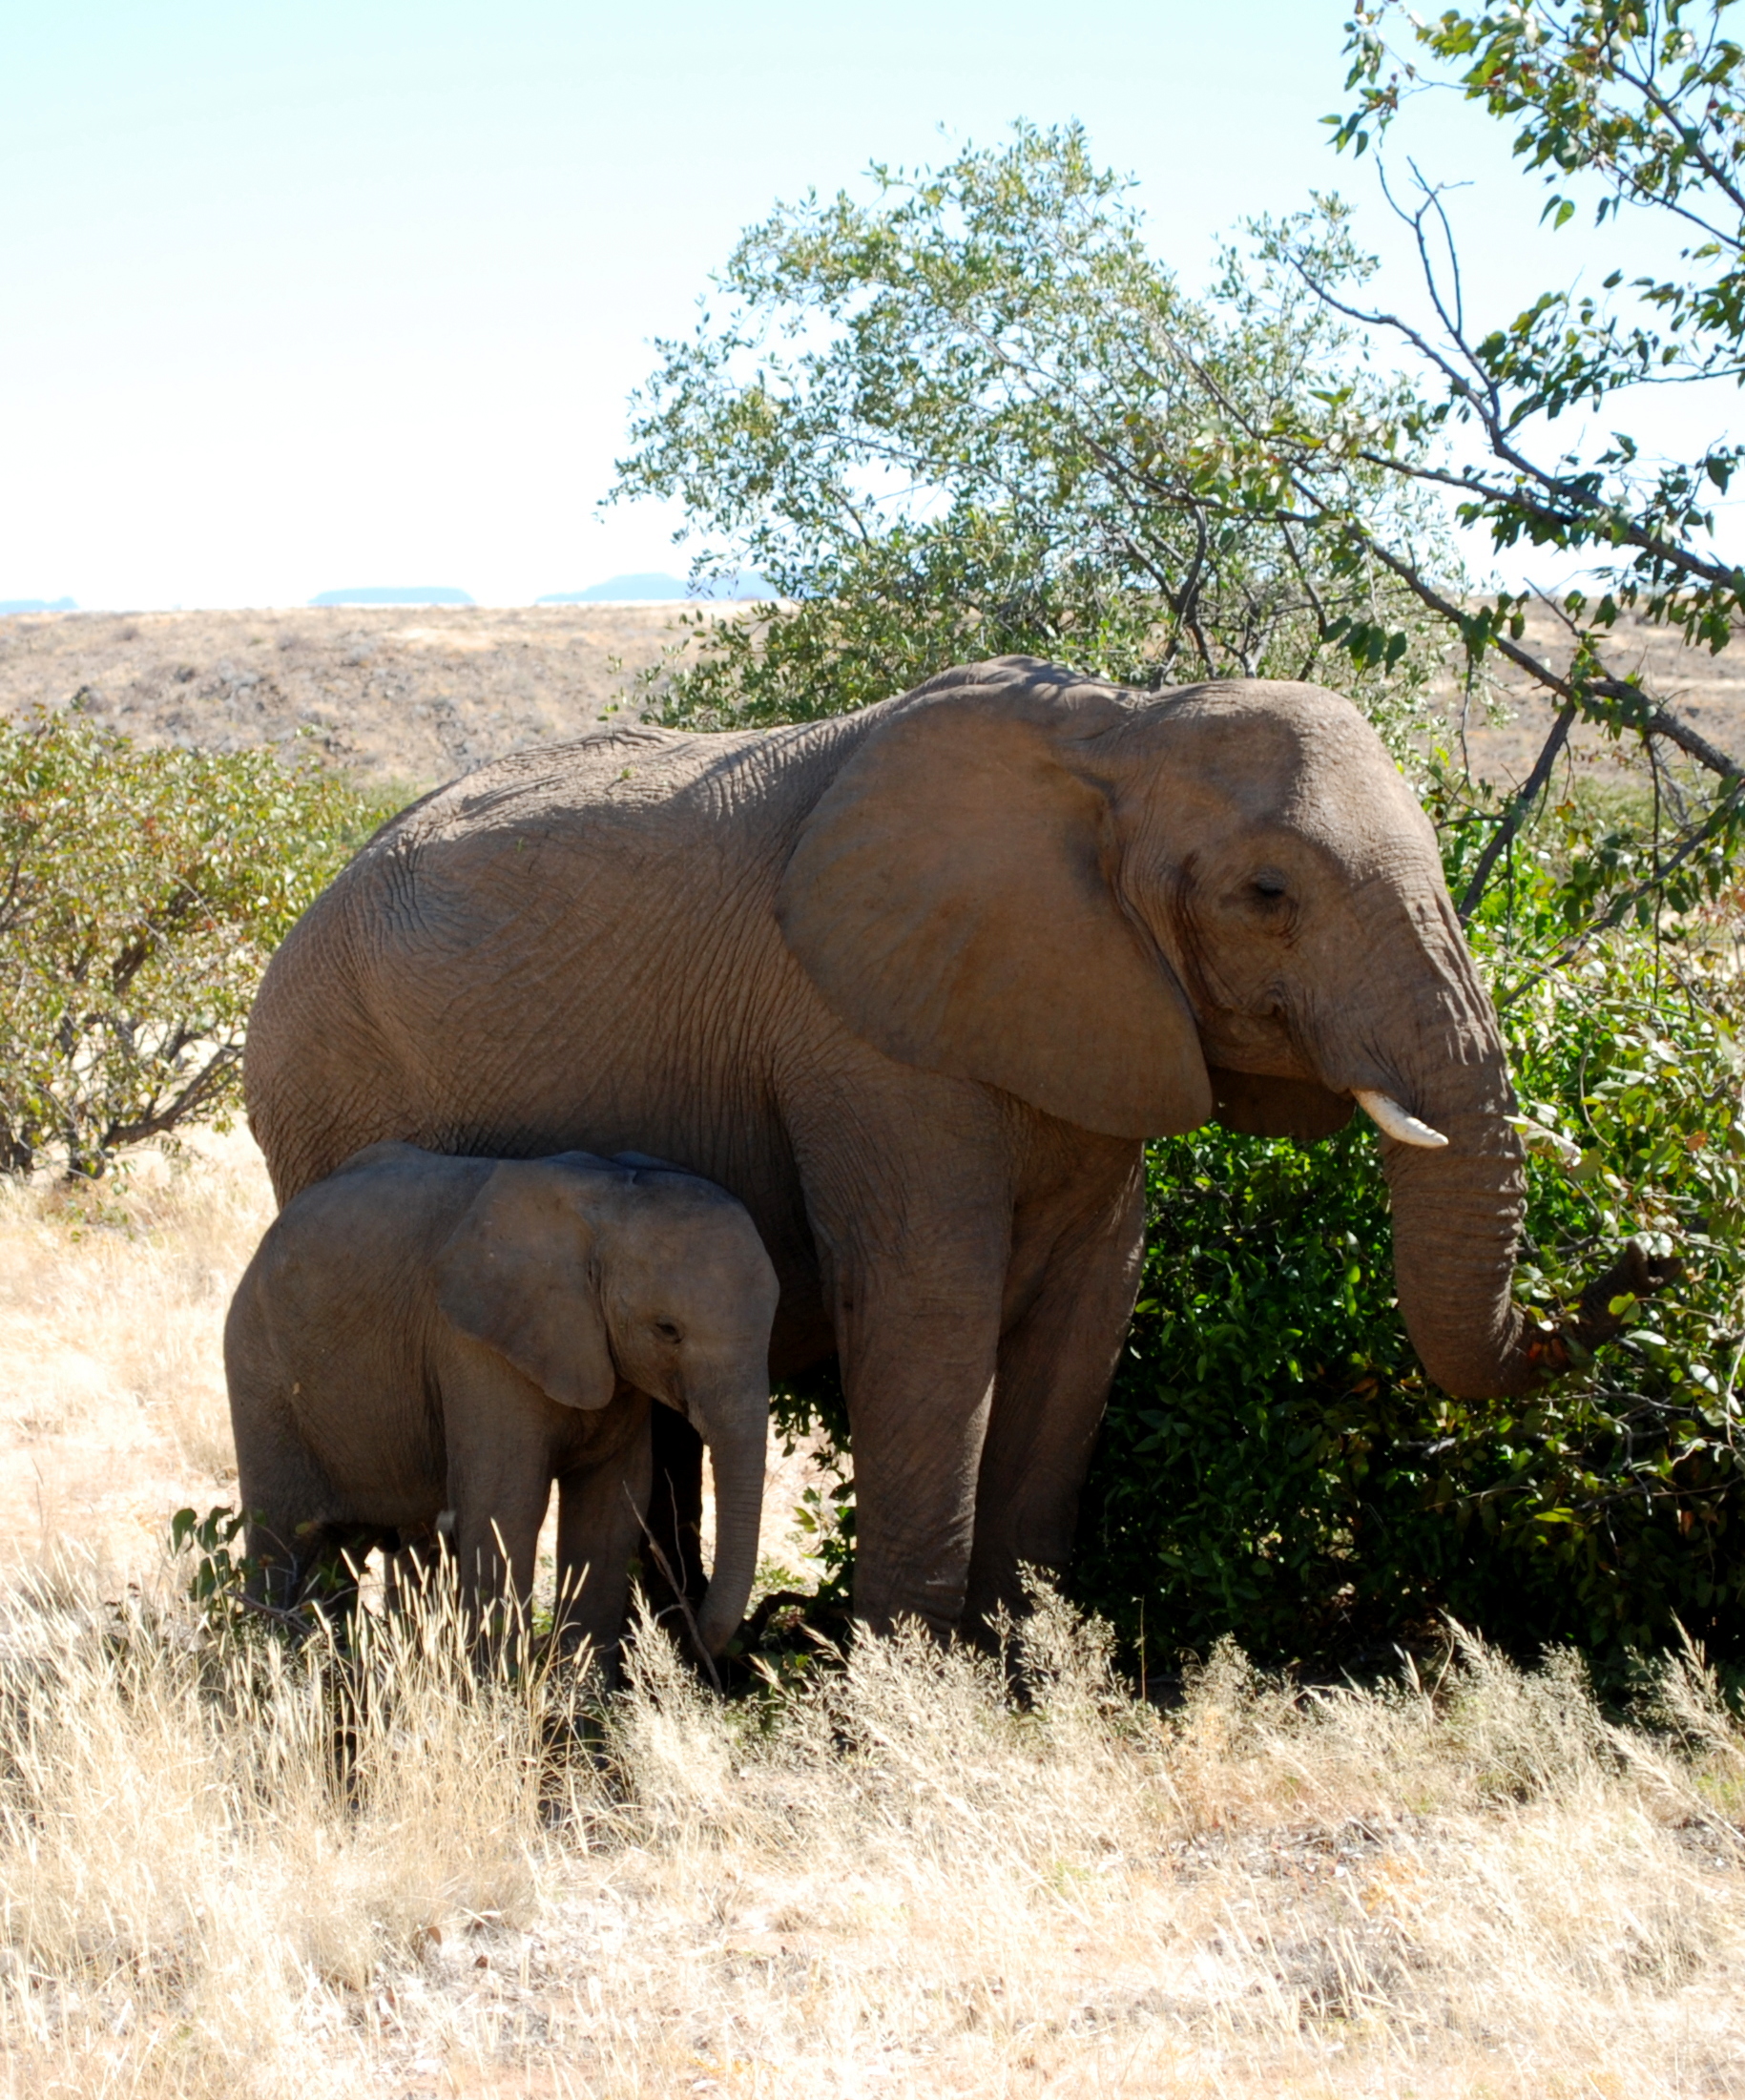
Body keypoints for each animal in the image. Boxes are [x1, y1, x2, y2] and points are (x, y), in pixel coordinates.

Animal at [223, 1142, 780, 1658]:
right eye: (667, 1330)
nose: (694, 1637)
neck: (609, 1192)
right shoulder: (474, 1347)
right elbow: (506, 1503)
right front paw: (502, 1690)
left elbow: (611, 1506)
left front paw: (583, 1698)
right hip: (260, 1376)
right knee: (283, 1543)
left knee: (337, 1552)